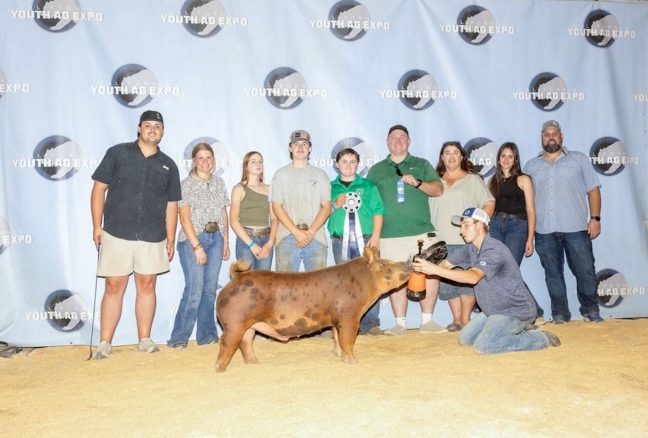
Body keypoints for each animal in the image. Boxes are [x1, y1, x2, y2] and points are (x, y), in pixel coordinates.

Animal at [216, 245, 410, 372]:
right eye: (384, 265)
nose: (407, 263)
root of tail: (234, 279)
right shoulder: (349, 316)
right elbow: (347, 340)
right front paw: (354, 362)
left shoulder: (336, 320)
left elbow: (336, 338)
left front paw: (339, 356)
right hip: (234, 322)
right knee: (227, 342)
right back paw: (220, 369)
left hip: (248, 324)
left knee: (245, 342)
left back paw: (254, 363)